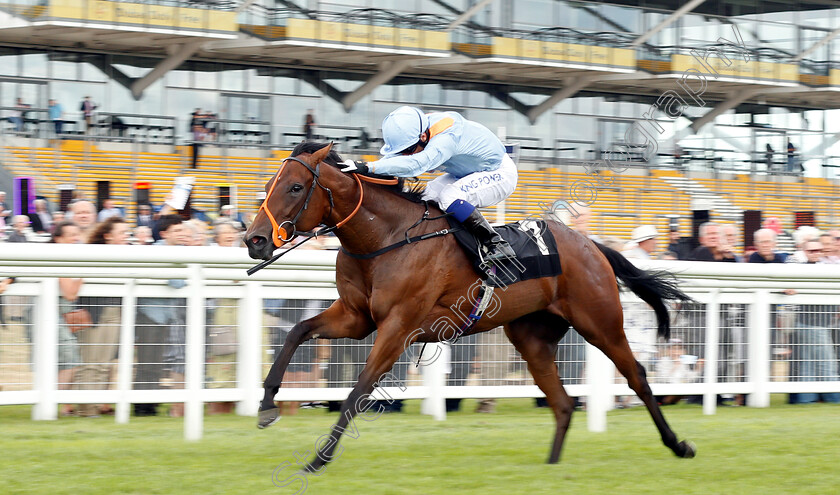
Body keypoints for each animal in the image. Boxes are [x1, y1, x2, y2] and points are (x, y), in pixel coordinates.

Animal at [244, 141, 696, 470]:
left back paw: (678, 445)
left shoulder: (399, 326)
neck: (386, 238)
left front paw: (318, 458)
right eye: (267, 185)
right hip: (532, 338)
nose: (255, 240)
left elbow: (359, 389)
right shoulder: (357, 318)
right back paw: (551, 465)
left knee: (637, 376)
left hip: (600, 322)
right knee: (563, 401)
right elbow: (297, 332)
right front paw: (266, 408)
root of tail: (592, 244)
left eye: (296, 188)